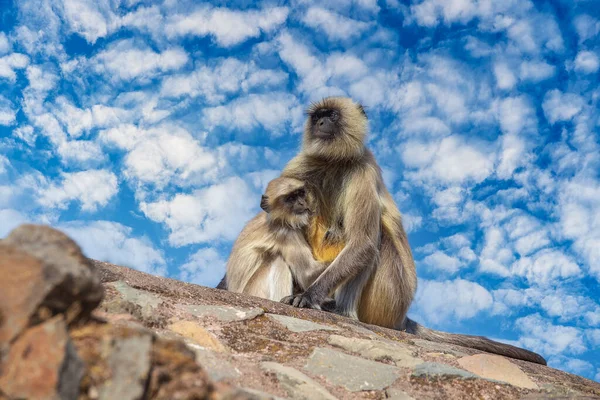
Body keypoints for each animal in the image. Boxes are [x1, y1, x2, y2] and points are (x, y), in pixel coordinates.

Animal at [274, 97, 548, 366]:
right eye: (317, 116)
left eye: (331, 115)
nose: (321, 123)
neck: (334, 162)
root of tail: (403, 317)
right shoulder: (302, 164)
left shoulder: (363, 169)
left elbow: (363, 243)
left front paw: (309, 296)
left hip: (390, 297)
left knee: (376, 241)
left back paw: (344, 312)